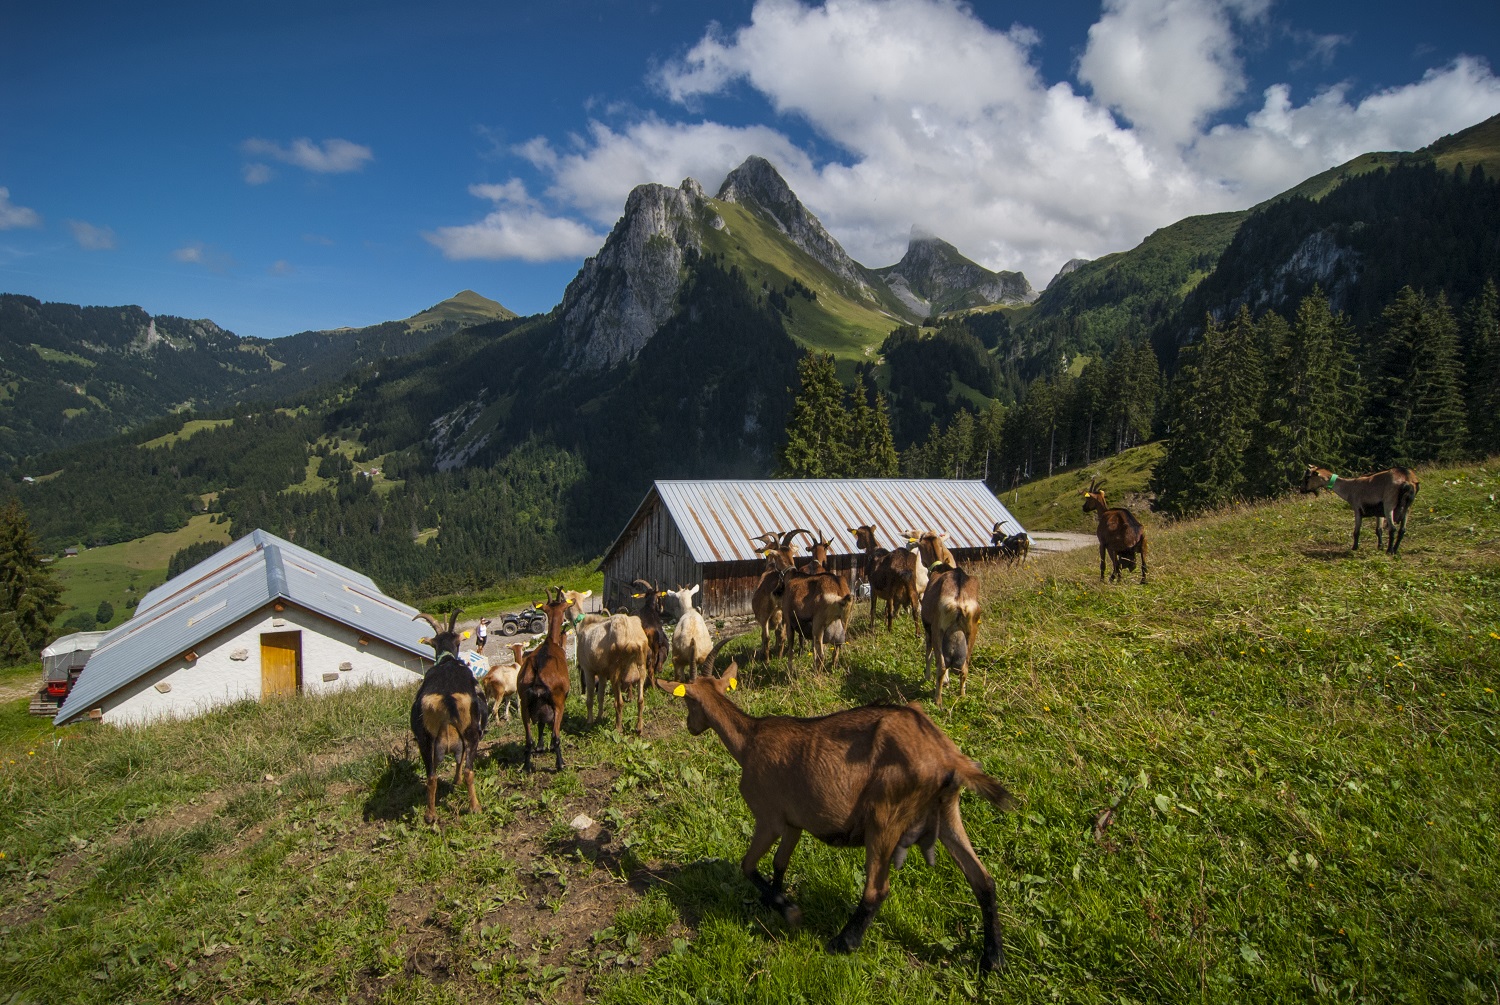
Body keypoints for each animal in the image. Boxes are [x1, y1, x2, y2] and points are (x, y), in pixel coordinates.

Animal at [519, 588, 570, 774]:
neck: (550, 642)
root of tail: (537, 672)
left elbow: (540, 723)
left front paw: (540, 747)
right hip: (558, 702)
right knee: (556, 736)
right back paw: (560, 764)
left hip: (524, 704)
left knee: (528, 740)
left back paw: (526, 766)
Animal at [660, 660, 1020, 978]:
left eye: (688, 701)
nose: (691, 727)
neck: (749, 740)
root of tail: (947, 756)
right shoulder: (793, 824)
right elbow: (779, 863)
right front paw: (776, 900)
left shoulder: (769, 818)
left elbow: (748, 865)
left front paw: (787, 909)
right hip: (947, 812)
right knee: (983, 880)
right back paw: (994, 960)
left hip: (885, 815)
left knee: (877, 889)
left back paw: (843, 942)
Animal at [918, 567, 978, 708]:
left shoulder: (929, 631)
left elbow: (928, 655)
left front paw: (927, 677)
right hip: (971, 634)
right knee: (964, 668)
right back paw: (962, 696)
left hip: (937, 631)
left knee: (941, 665)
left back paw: (938, 700)